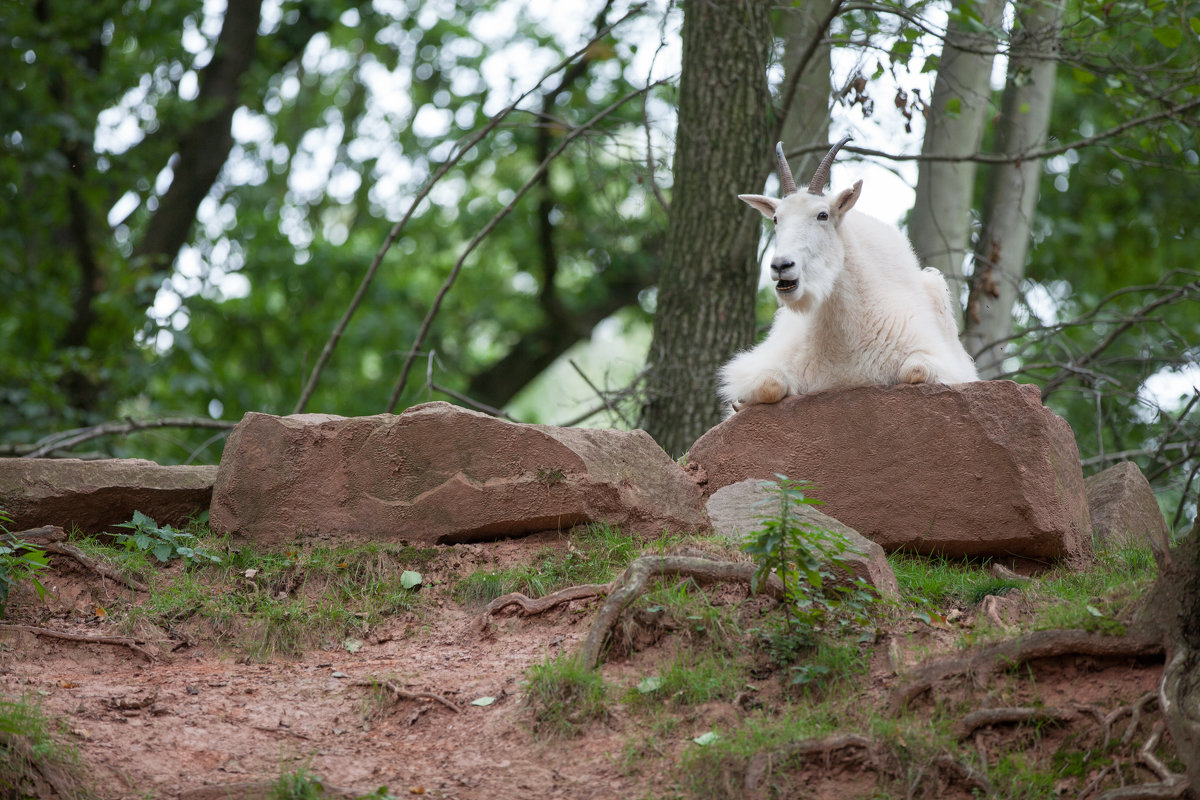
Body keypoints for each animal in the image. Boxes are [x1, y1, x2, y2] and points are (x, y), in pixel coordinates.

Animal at [715, 137, 979, 410]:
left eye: (822, 215)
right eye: (776, 219)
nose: (781, 266)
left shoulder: (938, 359)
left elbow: (915, 370)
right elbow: (769, 385)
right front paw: (740, 402)